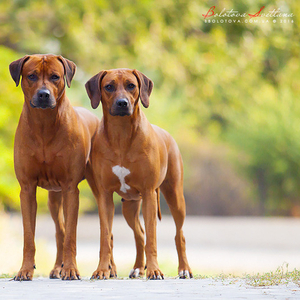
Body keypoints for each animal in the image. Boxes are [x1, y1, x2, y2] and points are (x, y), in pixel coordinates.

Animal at [9, 54, 100, 282]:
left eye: (55, 77)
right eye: (31, 76)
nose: (44, 94)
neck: (44, 125)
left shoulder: (70, 189)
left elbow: (72, 236)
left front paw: (71, 269)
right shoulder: (27, 189)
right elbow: (29, 236)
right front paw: (25, 270)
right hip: (53, 198)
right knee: (60, 231)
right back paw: (58, 267)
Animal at [85, 68, 192, 278]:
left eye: (131, 86)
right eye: (108, 87)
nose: (122, 103)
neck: (121, 135)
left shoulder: (149, 192)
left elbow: (152, 237)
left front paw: (155, 270)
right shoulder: (104, 195)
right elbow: (105, 236)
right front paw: (102, 269)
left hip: (175, 196)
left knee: (179, 234)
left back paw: (184, 269)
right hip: (129, 205)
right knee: (139, 234)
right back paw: (138, 268)